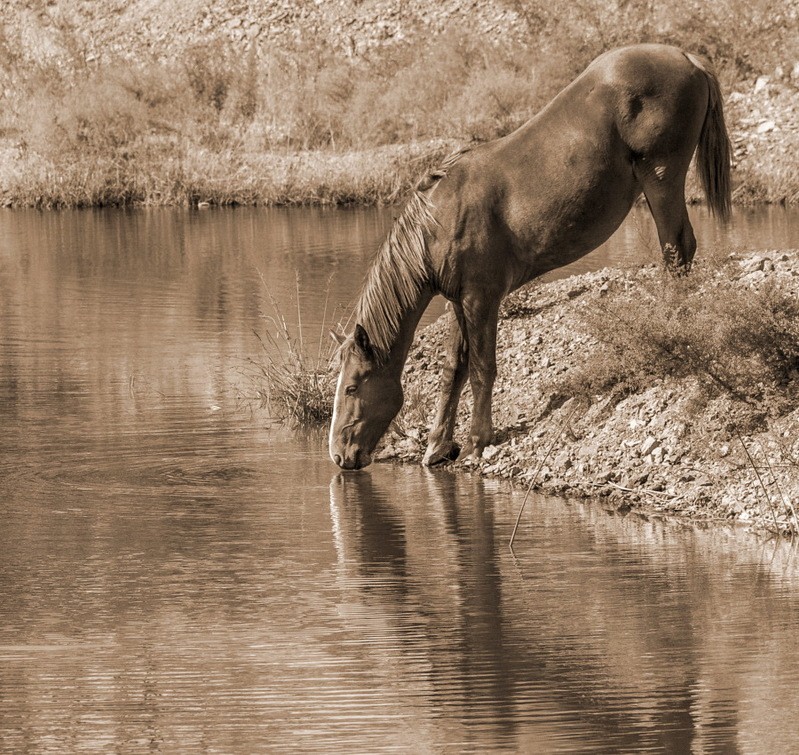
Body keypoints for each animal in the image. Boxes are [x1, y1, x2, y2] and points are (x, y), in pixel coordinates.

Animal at [326, 44, 732, 470]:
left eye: (352, 387)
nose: (338, 454)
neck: (440, 221)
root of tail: (685, 57)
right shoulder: (459, 301)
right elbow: (454, 368)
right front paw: (438, 444)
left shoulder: (482, 299)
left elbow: (482, 368)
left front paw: (477, 440)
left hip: (662, 177)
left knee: (677, 248)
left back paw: (671, 313)